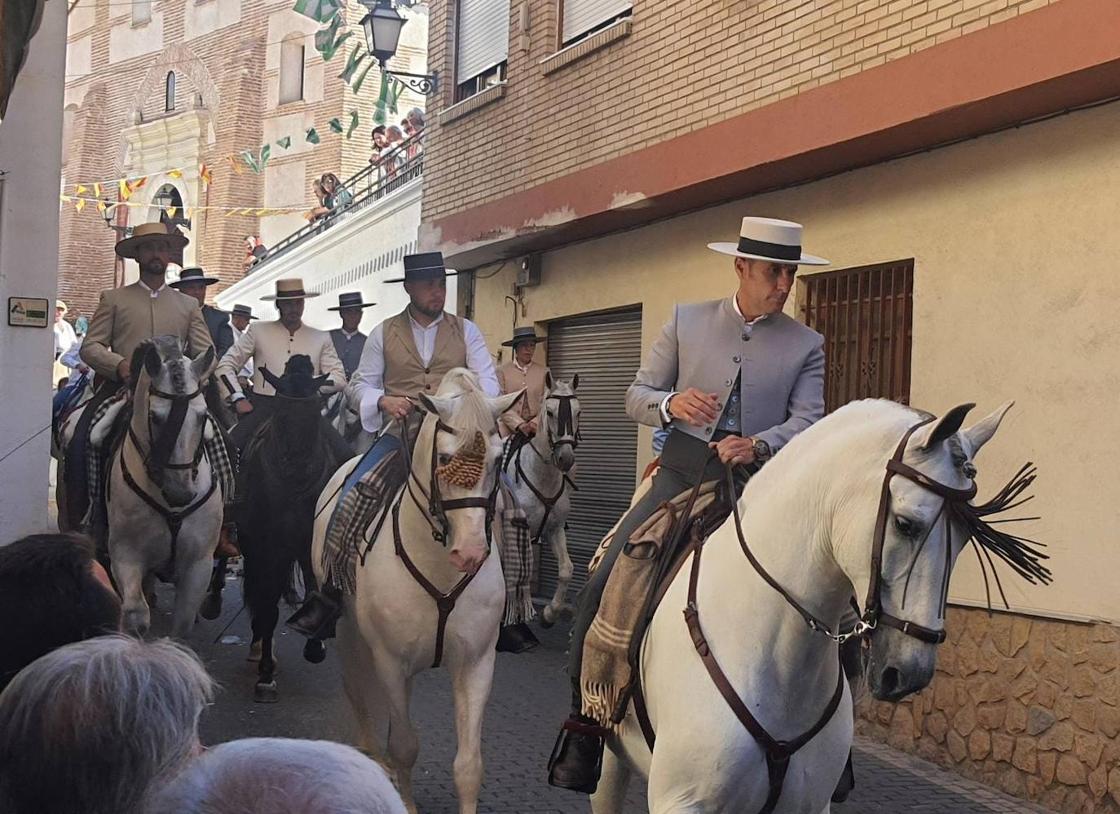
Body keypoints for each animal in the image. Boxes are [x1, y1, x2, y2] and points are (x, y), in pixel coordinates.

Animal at [107, 338, 222, 635]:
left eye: (203, 416)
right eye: (155, 417)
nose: (180, 494)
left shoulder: (199, 564)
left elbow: (182, 623)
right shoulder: (124, 554)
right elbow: (136, 614)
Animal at [234, 356, 342, 707]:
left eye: (314, 413)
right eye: (281, 411)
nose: (294, 468)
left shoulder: (310, 544)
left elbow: (314, 593)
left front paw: (315, 644)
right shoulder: (268, 546)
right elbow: (267, 605)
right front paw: (266, 676)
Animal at [313, 371, 521, 814]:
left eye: (498, 460)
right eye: (443, 459)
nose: (470, 553)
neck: (438, 564)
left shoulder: (476, 663)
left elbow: (469, 764)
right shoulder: (390, 662)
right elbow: (405, 747)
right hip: (349, 636)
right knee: (358, 695)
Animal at [504, 371, 582, 627]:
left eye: (578, 412)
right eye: (550, 412)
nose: (566, 459)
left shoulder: (554, 528)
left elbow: (566, 569)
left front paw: (550, 613)